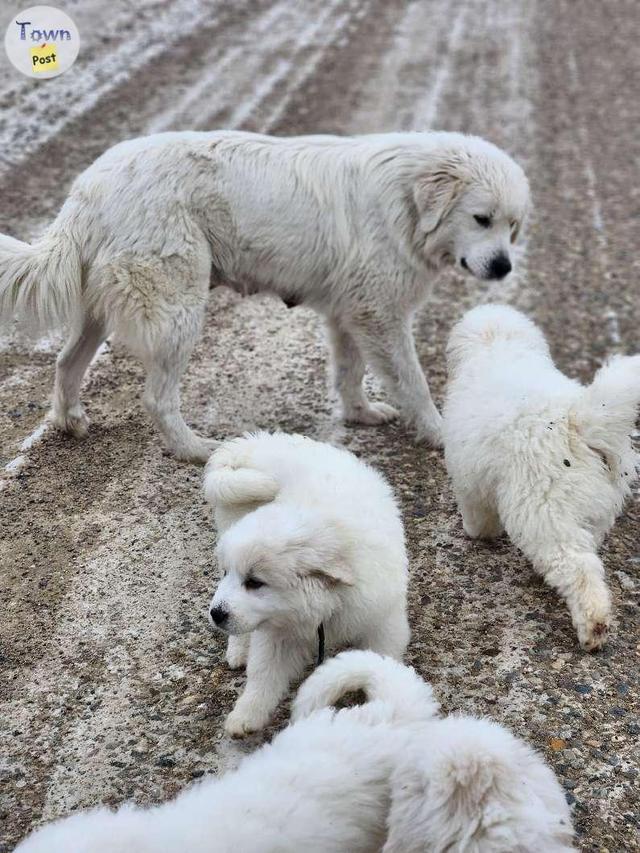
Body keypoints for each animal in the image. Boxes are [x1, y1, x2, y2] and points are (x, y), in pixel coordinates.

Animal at [0, 130, 528, 460]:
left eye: (513, 226)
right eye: (481, 218)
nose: (504, 267)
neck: (407, 202)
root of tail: (91, 185)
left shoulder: (350, 314)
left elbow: (349, 373)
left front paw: (359, 415)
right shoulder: (381, 316)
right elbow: (414, 383)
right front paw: (439, 434)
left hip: (98, 310)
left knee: (65, 362)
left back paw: (70, 421)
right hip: (177, 311)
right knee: (156, 398)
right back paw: (193, 449)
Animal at [204, 430, 410, 736]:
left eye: (254, 582)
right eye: (230, 572)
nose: (215, 614)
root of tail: (254, 443)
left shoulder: (383, 624)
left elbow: (378, 659)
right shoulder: (274, 630)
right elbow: (263, 674)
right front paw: (245, 715)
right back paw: (238, 651)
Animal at [444, 302, 640, 648]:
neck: (498, 345)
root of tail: (576, 424)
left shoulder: (468, 478)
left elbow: (477, 514)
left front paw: (476, 533)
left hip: (544, 514)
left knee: (577, 567)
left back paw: (593, 628)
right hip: (595, 507)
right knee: (588, 550)